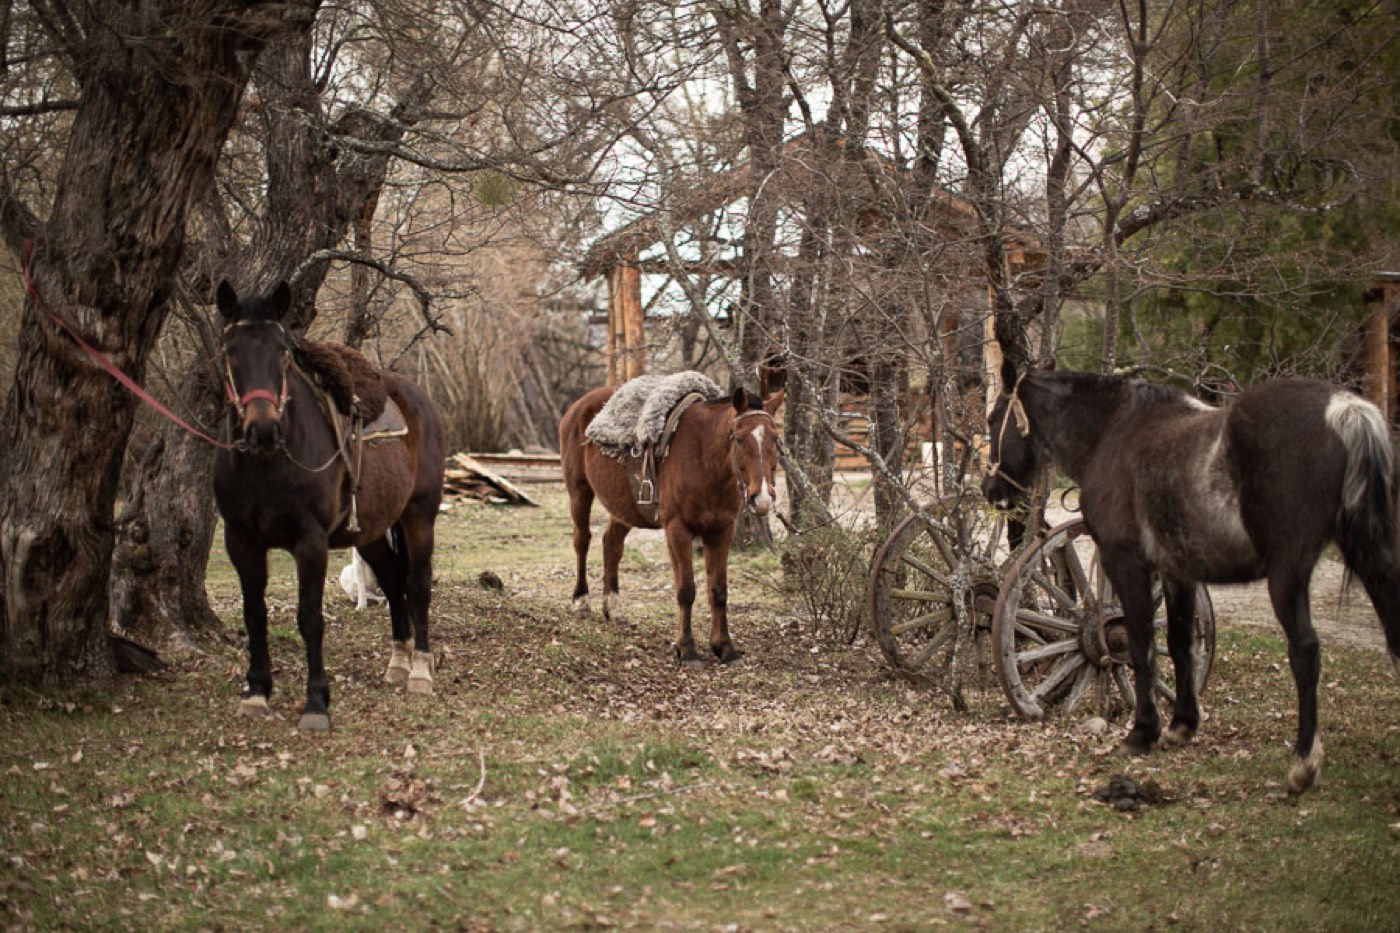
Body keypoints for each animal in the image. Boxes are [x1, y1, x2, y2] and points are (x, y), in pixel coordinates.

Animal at [212, 281, 445, 731]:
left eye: (283, 352)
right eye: (230, 351)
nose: (262, 430)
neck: (268, 464)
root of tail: (418, 399)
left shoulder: (311, 542)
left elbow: (309, 618)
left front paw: (317, 702)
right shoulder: (241, 541)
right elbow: (254, 614)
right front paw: (256, 692)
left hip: (418, 518)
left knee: (417, 585)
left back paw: (420, 672)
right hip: (370, 533)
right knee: (392, 582)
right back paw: (398, 663)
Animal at [559, 383, 783, 667]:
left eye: (775, 438)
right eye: (739, 438)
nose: (761, 497)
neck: (704, 457)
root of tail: (578, 407)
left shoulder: (722, 531)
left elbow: (718, 590)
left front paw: (725, 648)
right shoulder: (678, 529)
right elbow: (686, 589)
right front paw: (687, 650)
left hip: (623, 507)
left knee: (611, 545)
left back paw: (613, 607)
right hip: (579, 492)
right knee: (582, 541)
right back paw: (581, 601)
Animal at [982, 359, 1400, 793]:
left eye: (994, 417)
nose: (990, 490)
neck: (1111, 431)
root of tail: (1344, 408)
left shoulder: (1126, 563)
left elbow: (1140, 645)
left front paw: (1142, 732)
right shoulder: (1177, 572)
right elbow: (1179, 643)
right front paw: (1182, 724)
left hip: (1288, 574)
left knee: (1305, 651)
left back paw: (1303, 762)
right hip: (1373, 558)